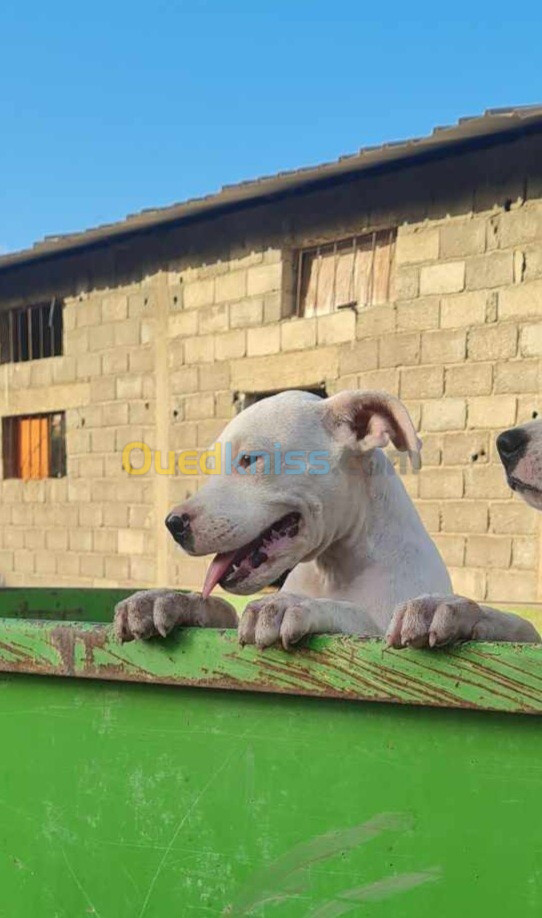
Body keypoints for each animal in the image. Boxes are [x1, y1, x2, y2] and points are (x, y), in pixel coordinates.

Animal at [115, 394, 540, 648]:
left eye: (249, 459)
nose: (174, 524)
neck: (335, 568)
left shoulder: (381, 625)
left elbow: (357, 617)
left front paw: (293, 606)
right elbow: (219, 608)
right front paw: (166, 600)